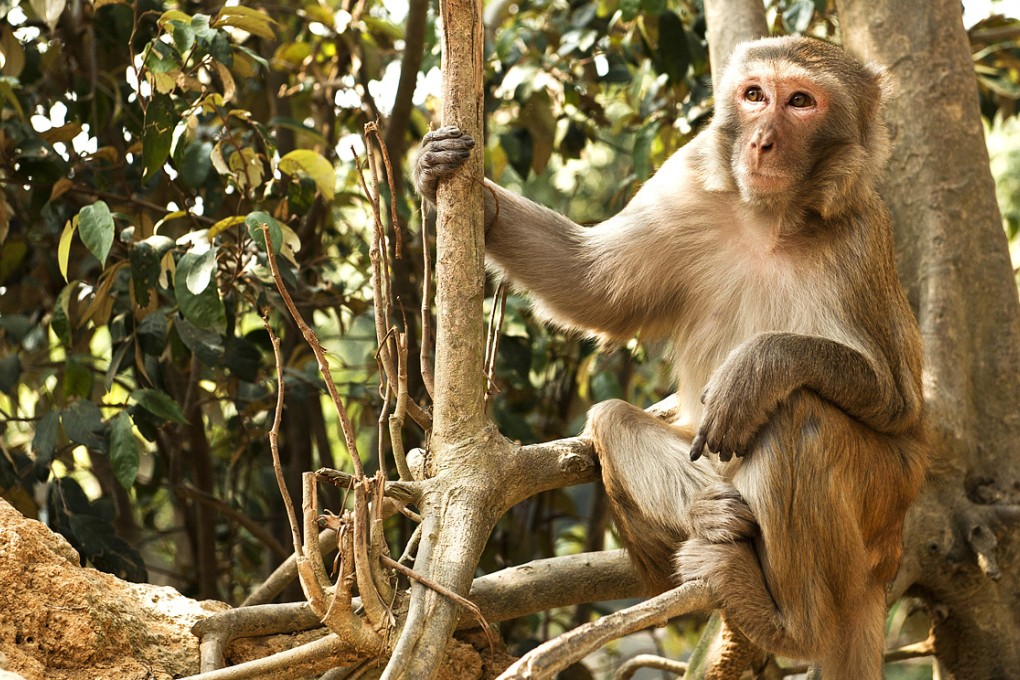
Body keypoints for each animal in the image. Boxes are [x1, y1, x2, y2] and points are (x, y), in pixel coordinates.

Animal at [415, 36, 928, 679]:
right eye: (755, 95)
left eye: (801, 102)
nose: (762, 140)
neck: (770, 217)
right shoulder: (682, 185)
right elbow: (594, 286)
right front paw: (461, 188)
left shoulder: (862, 239)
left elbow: (899, 402)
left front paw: (760, 366)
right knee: (613, 421)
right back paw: (713, 516)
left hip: (885, 502)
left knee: (801, 418)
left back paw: (794, 625)